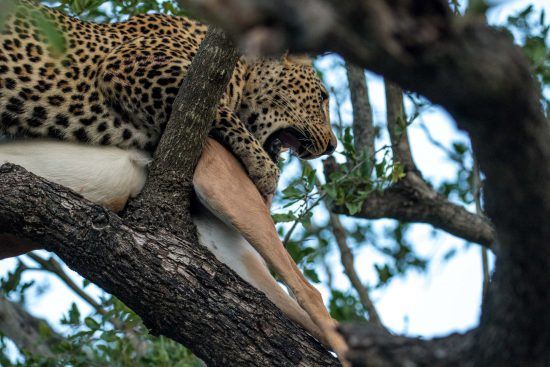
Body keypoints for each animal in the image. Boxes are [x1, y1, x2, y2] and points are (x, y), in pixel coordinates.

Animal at [0, 0, 338, 197]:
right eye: (322, 97)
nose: (333, 146)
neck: (243, 69)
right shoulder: (129, 62)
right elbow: (225, 113)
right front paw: (265, 169)